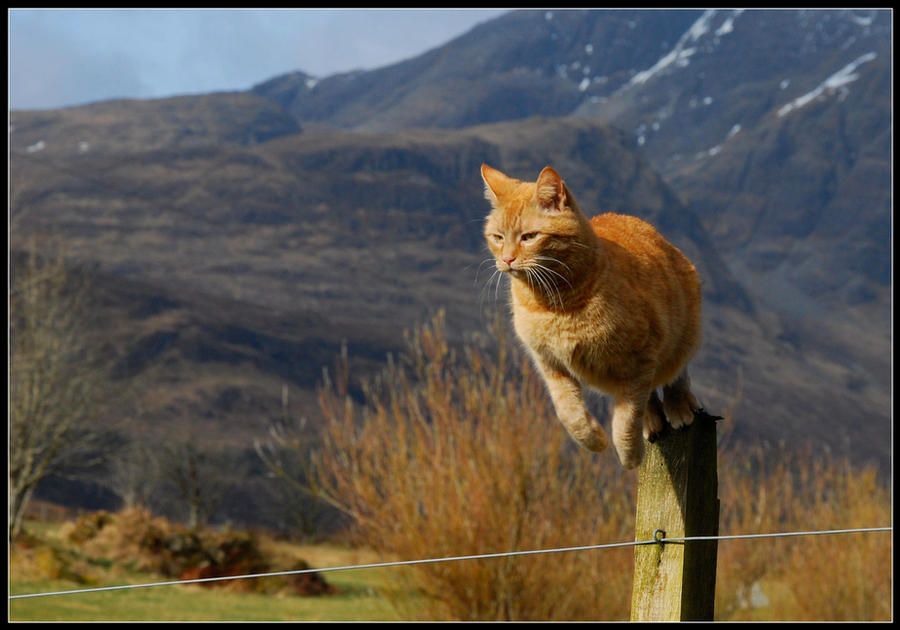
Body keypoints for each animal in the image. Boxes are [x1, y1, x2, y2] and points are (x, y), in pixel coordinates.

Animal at [486, 165, 704, 472]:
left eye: (529, 236)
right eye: (498, 237)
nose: (506, 259)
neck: (555, 305)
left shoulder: (639, 358)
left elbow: (627, 417)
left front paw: (629, 454)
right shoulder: (549, 364)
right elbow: (568, 412)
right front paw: (593, 438)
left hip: (683, 333)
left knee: (674, 374)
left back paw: (677, 405)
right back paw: (652, 419)